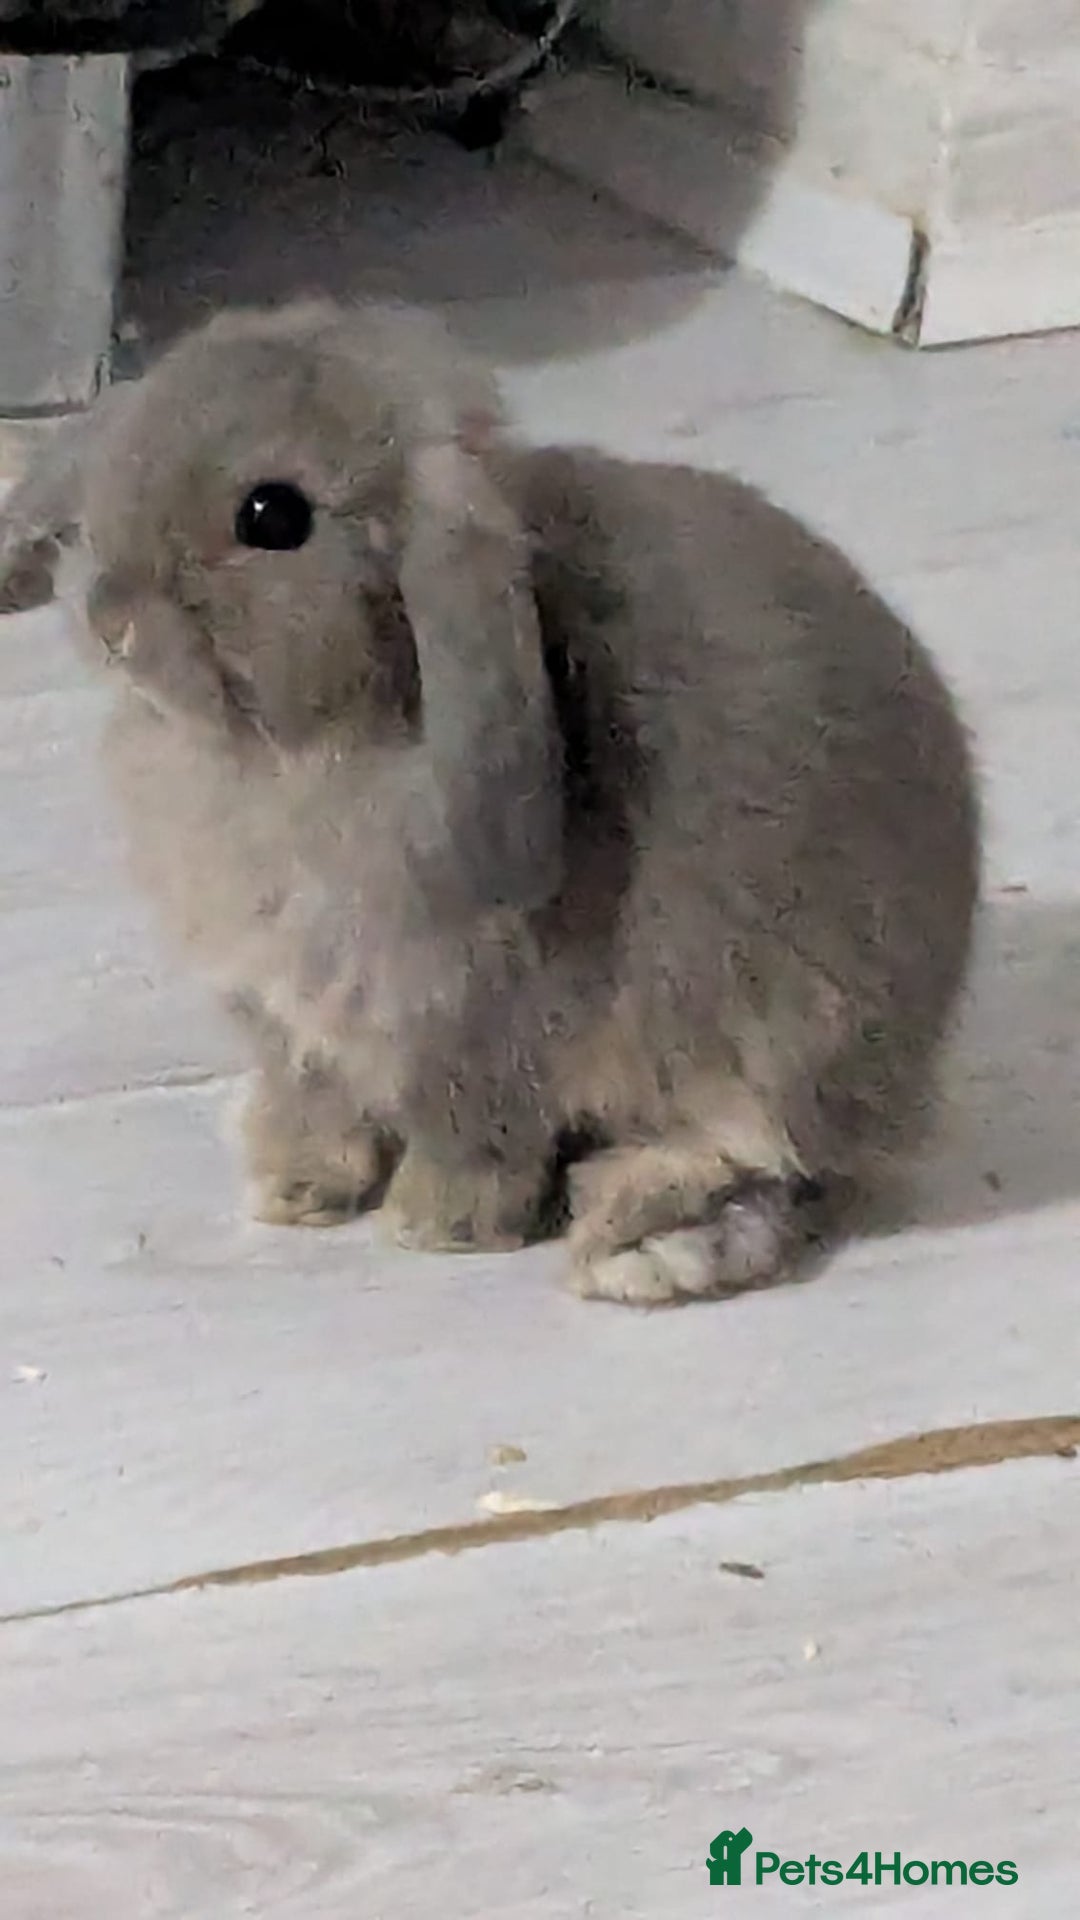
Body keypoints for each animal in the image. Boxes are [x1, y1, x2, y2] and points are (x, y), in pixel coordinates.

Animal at [0, 299, 980, 1305]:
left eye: (274, 515)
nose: (110, 619)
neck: (302, 743)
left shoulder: (474, 1028)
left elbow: (475, 1137)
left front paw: (434, 1229)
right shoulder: (297, 1028)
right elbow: (319, 1104)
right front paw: (291, 1187)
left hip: (780, 1038)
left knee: (766, 1160)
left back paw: (631, 1237)